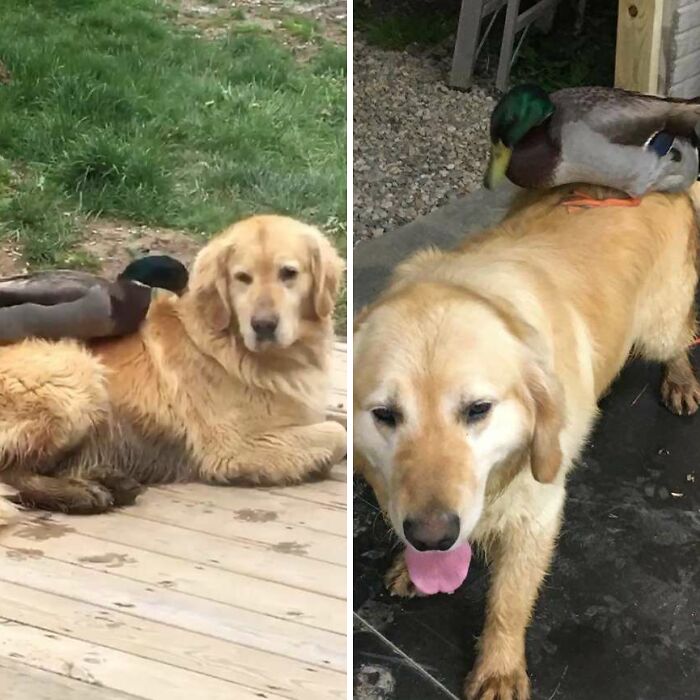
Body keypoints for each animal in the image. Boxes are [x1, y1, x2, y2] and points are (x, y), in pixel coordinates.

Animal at [0, 216, 348, 516]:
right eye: (242, 278)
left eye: (289, 273)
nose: (263, 326)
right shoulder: (234, 447)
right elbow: (337, 434)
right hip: (76, 379)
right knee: (14, 471)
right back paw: (81, 493)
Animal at [352, 186, 700, 700]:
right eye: (384, 415)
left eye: (478, 409)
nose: (432, 537)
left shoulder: (538, 509)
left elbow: (509, 601)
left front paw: (499, 669)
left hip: (659, 328)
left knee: (679, 337)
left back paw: (679, 379)